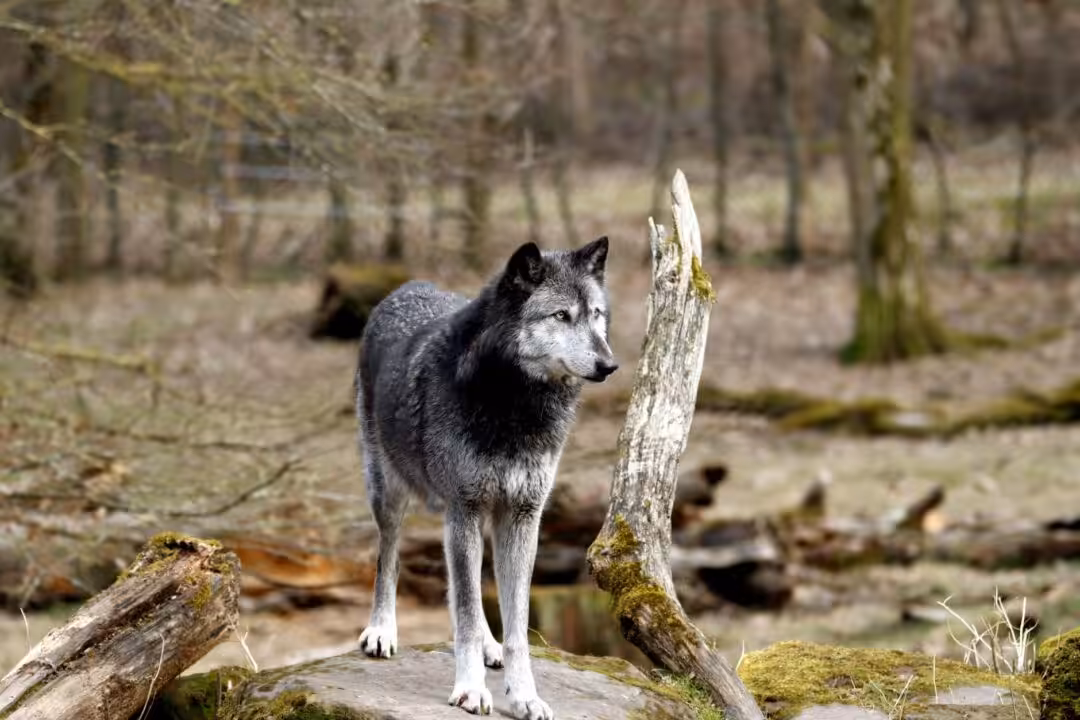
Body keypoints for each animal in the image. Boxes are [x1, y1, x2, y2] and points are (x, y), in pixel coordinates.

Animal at [355, 237, 617, 720]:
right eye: (560, 315)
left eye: (595, 314)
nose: (610, 364)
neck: (516, 405)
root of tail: (406, 286)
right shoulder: (465, 509)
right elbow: (464, 610)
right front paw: (471, 689)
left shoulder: (523, 516)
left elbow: (515, 624)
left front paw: (525, 695)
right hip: (390, 495)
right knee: (390, 558)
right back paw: (382, 630)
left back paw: (489, 646)